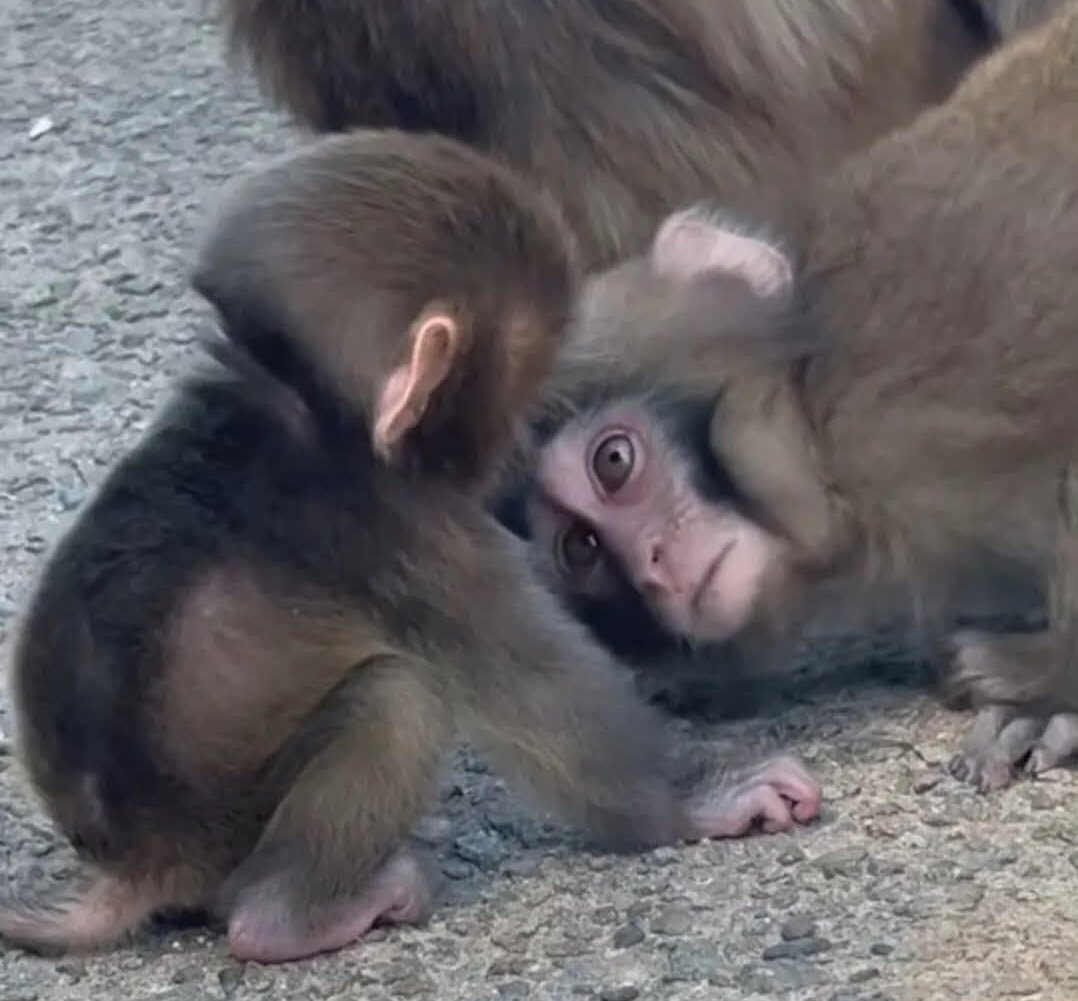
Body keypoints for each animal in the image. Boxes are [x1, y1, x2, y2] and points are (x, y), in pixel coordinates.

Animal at [1, 130, 821, 964]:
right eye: (521, 380)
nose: (518, 447)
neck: (307, 406)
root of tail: (129, 870)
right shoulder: (413, 531)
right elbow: (546, 702)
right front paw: (700, 799)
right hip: (225, 830)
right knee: (397, 699)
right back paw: (289, 917)